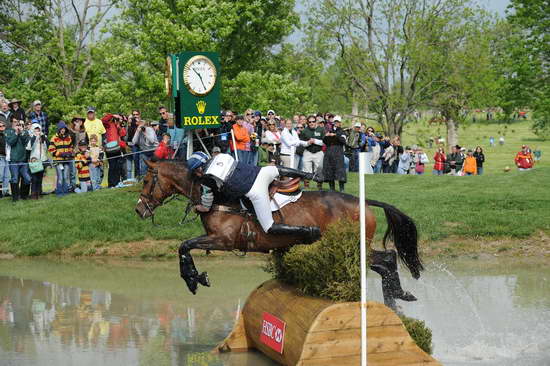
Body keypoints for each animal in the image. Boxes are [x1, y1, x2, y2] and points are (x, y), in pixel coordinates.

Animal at [136, 159, 424, 308]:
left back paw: (398, 297)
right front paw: (196, 276)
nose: (139, 209)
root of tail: (362, 201)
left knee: (387, 259)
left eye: (147, 181)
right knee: (386, 262)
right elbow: (186, 246)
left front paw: (193, 279)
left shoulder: (224, 240)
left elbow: (184, 246)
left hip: (353, 246)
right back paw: (397, 299)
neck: (216, 197)